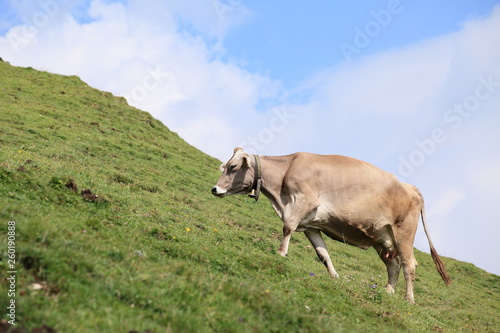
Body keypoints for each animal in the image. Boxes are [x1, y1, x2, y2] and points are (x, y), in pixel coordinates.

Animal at [211, 147, 454, 302]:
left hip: (404, 232)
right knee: (392, 264)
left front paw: (281, 253)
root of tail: (409, 186)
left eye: (233, 167)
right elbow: (322, 253)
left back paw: (408, 299)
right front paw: (334, 276)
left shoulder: (305, 201)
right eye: (224, 166)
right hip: (382, 238)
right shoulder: (311, 225)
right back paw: (388, 292)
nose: (215, 189)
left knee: (409, 264)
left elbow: (288, 226)